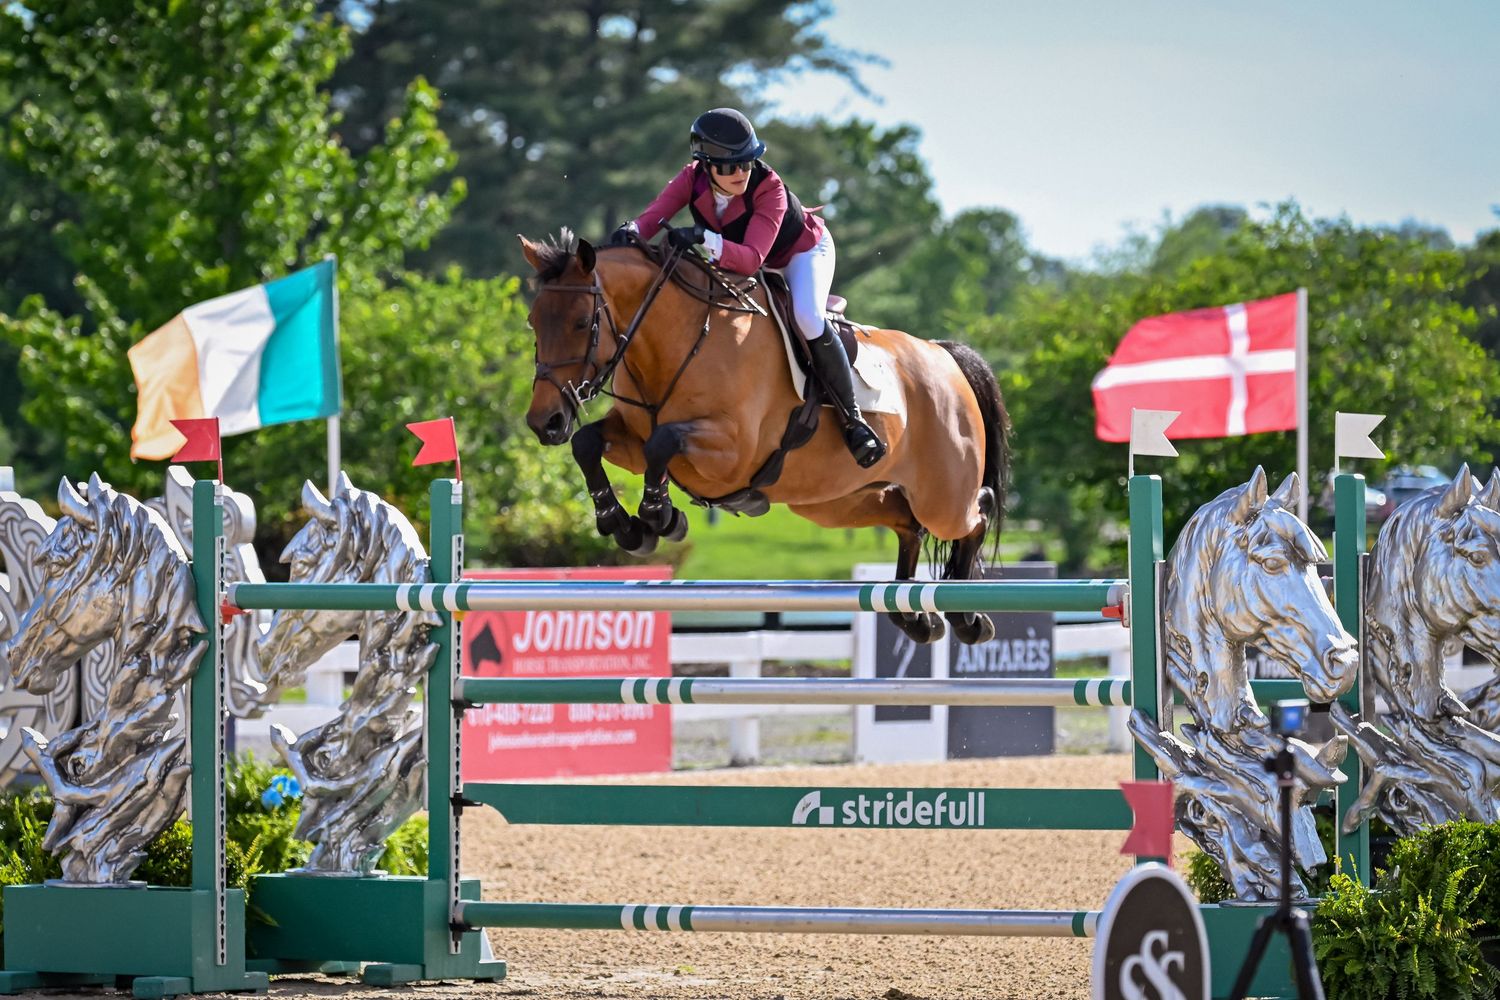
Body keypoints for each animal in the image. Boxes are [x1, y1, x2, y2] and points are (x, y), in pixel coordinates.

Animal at [518, 229, 1011, 646]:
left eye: (581, 322)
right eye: (533, 321)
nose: (545, 422)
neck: (683, 338)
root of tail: (943, 354)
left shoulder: (730, 453)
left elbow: (664, 443)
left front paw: (661, 517)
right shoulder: (634, 441)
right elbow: (588, 444)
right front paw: (623, 526)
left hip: (941, 496)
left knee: (977, 510)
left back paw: (968, 617)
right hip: (838, 502)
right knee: (907, 523)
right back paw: (915, 618)